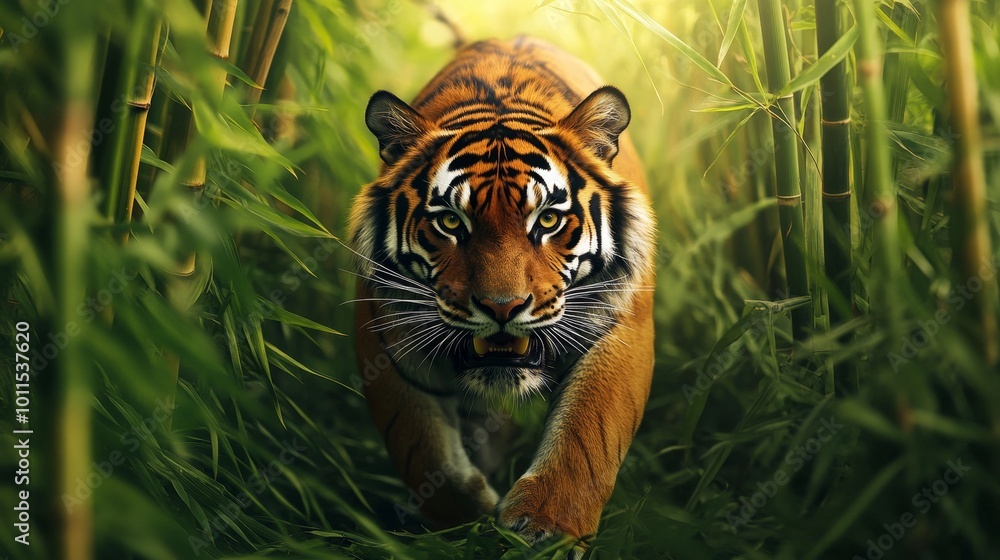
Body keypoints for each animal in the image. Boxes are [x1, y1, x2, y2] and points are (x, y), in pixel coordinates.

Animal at [349, 36, 656, 543]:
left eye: (547, 220)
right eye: (451, 222)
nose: (502, 307)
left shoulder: (622, 322)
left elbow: (587, 434)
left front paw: (545, 528)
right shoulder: (387, 337)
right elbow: (424, 450)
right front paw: (462, 524)